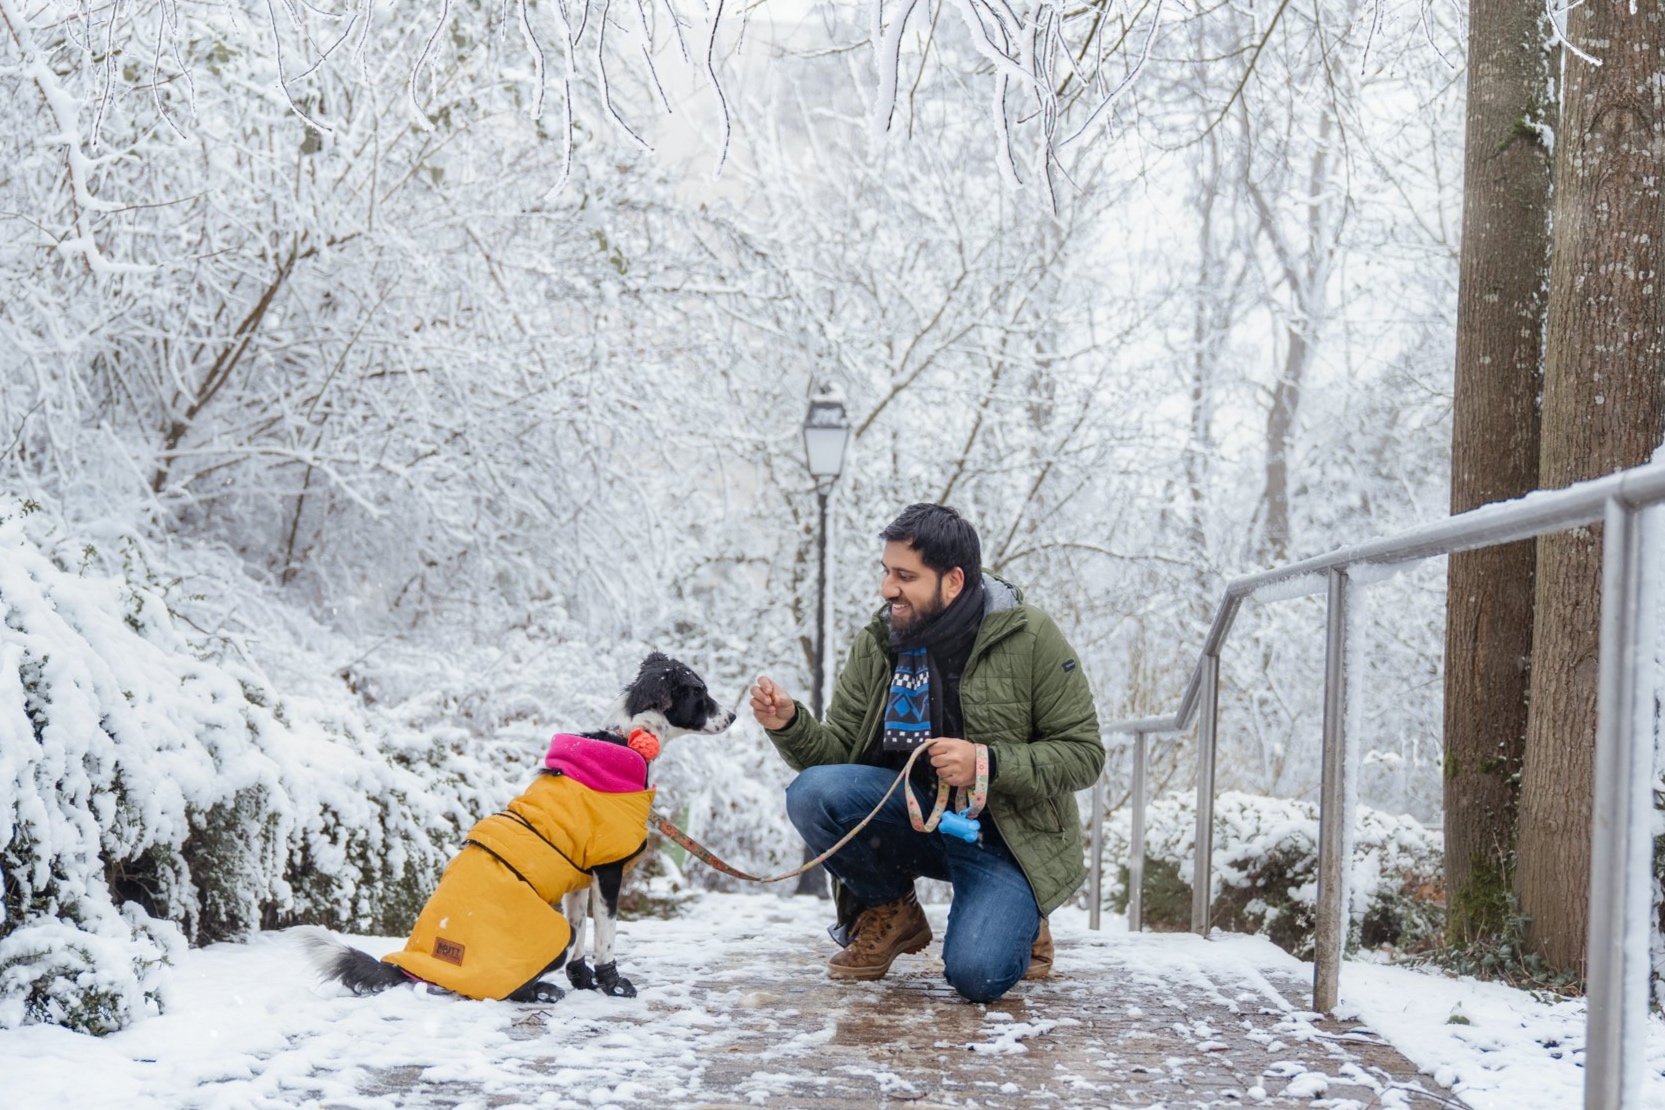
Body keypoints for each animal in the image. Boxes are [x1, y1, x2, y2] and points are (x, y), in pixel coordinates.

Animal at [303, 655, 732, 1005]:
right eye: (700, 692)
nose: (733, 717)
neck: (626, 741)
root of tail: (416, 963)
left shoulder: (581, 876)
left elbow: (582, 928)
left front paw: (584, 980)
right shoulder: (608, 871)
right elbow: (606, 935)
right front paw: (614, 984)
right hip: (548, 934)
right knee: (502, 990)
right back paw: (542, 991)